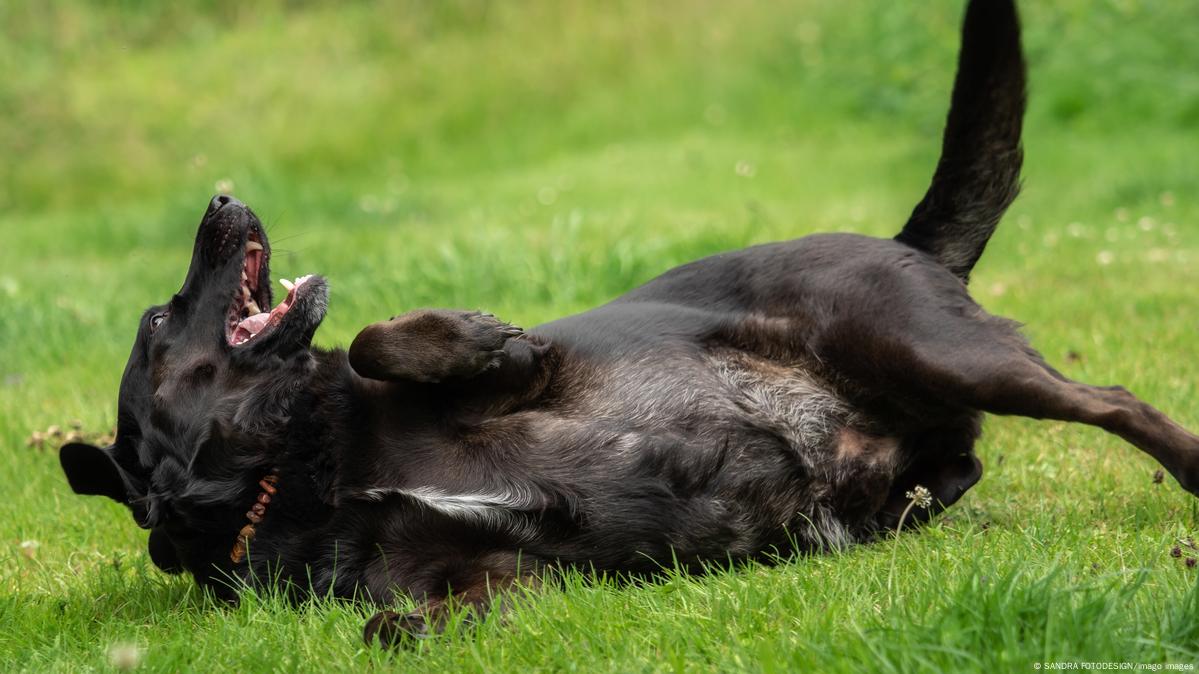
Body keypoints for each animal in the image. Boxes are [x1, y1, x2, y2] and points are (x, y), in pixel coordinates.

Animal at [58, 1, 1199, 647]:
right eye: (162, 316)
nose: (219, 197)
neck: (297, 469)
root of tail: (902, 240)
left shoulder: (542, 373)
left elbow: (398, 343)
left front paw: (475, 330)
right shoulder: (486, 572)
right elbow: (389, 624)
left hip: (930, 344)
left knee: (1113, 401)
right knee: (954, 466)